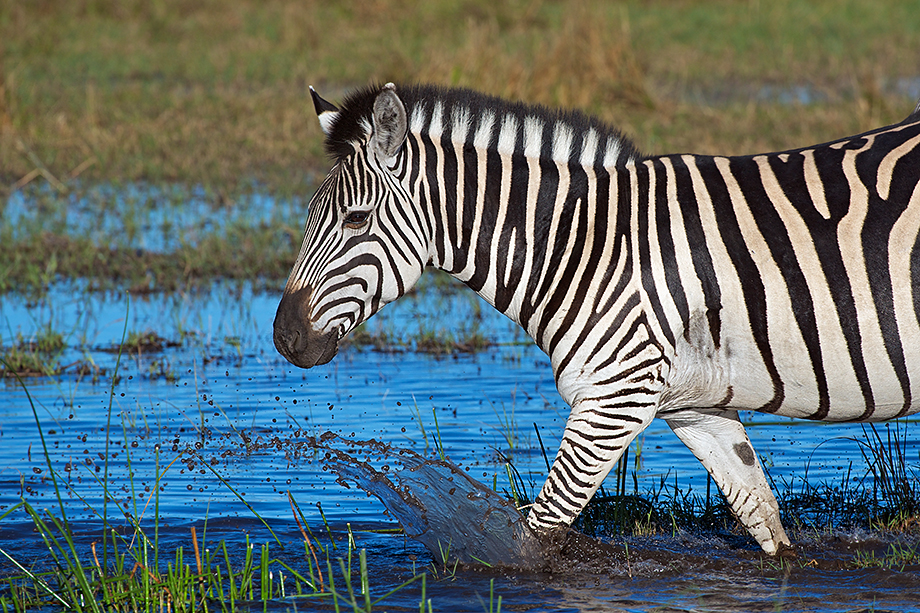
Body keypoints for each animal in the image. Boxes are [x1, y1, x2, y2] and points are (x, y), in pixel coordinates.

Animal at [276, 81, 920, 556]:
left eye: (356, 220)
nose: (284, 339)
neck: (582, 245)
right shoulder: (696, 406)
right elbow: (764, 521)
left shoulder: (614, 396)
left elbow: (539, 531)